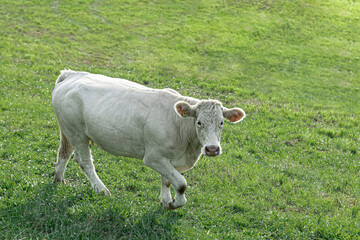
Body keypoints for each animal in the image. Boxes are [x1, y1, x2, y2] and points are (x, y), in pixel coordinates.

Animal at [52, 69, 245, 208]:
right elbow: (181, 183)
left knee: (64, 152)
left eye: (221, 123)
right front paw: (175, 203)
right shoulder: (153, 157)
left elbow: (168, 181)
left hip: (68, 130)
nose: (212, 149)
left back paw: (58, 179)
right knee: (84, 161)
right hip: (77, 133)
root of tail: (71, 74)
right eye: (199, 122)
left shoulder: (169, 160)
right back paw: (101, 189)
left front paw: (167, 201)